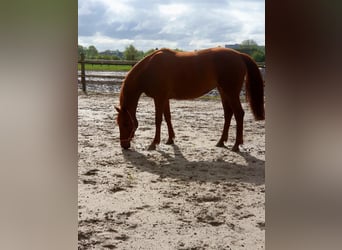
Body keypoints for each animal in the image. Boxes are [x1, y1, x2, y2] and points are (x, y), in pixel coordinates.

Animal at [115, 48, 264, 151]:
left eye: (126, 124)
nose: (124, 145)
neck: (149, 69)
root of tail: (239, 55)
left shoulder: (159, 98)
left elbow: (158, 120)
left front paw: (154, 143)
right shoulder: (164, 99)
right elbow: (168, 117)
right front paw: (170, 139)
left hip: (231, 92)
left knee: (239, 114)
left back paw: (236, 145)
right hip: (224, 92)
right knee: (228, 114)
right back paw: (221, 141)